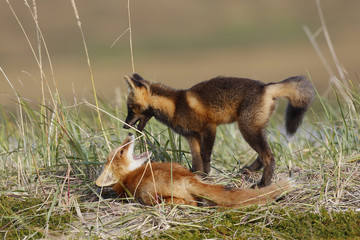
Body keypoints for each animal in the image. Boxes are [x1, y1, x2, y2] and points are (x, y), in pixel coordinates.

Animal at [122, 73, 314, 188]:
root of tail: (266, 86)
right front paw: (197, 175)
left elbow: (205, 156)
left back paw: (263, 184)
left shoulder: (209, 128)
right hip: (255, 129)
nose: (124, 126)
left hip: (247, 129)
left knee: (269, 156)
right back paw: (248, 171)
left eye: (131, 108)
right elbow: (197, 159)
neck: (175, 106)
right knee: (264, 154)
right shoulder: (191, 136)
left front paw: (206, 176)